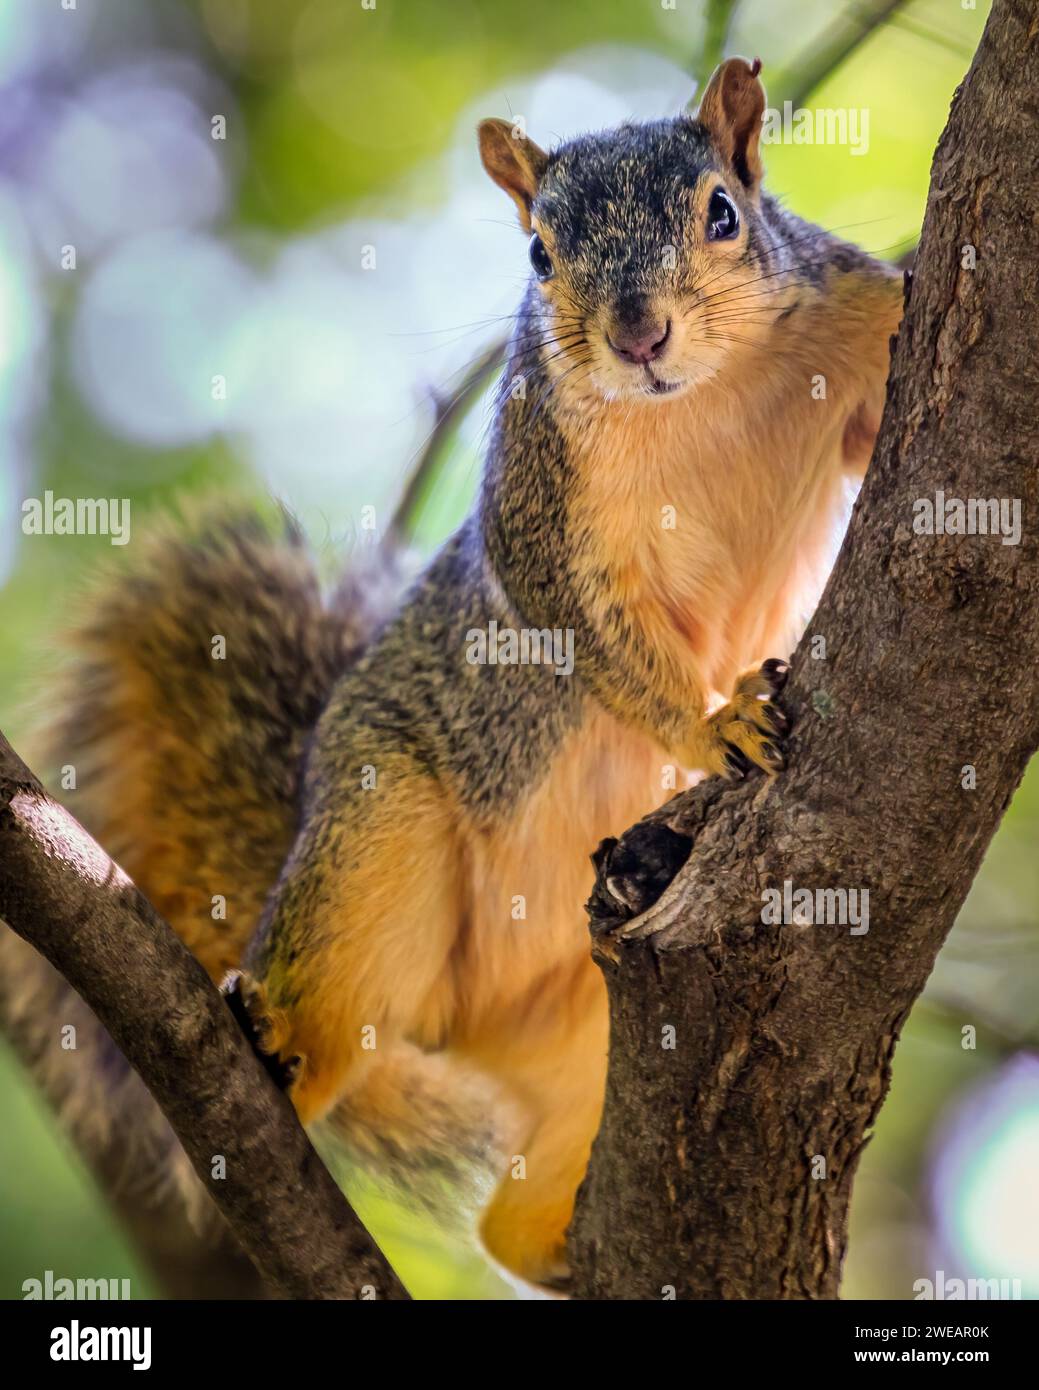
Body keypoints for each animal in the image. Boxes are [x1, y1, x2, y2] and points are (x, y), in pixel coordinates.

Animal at [4, 56, 901, 1289]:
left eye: (722, 212)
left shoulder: (856, 317)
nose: (637, 333)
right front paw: (713, 719)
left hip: (584, 1036)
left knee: (502, 1218)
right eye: (538, 254)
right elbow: (584, 634)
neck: (704, 401)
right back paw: (275, 1044)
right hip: (376, 839)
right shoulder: (537, 512)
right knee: (336, 997)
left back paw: (556, 1246)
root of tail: (469, 1032)